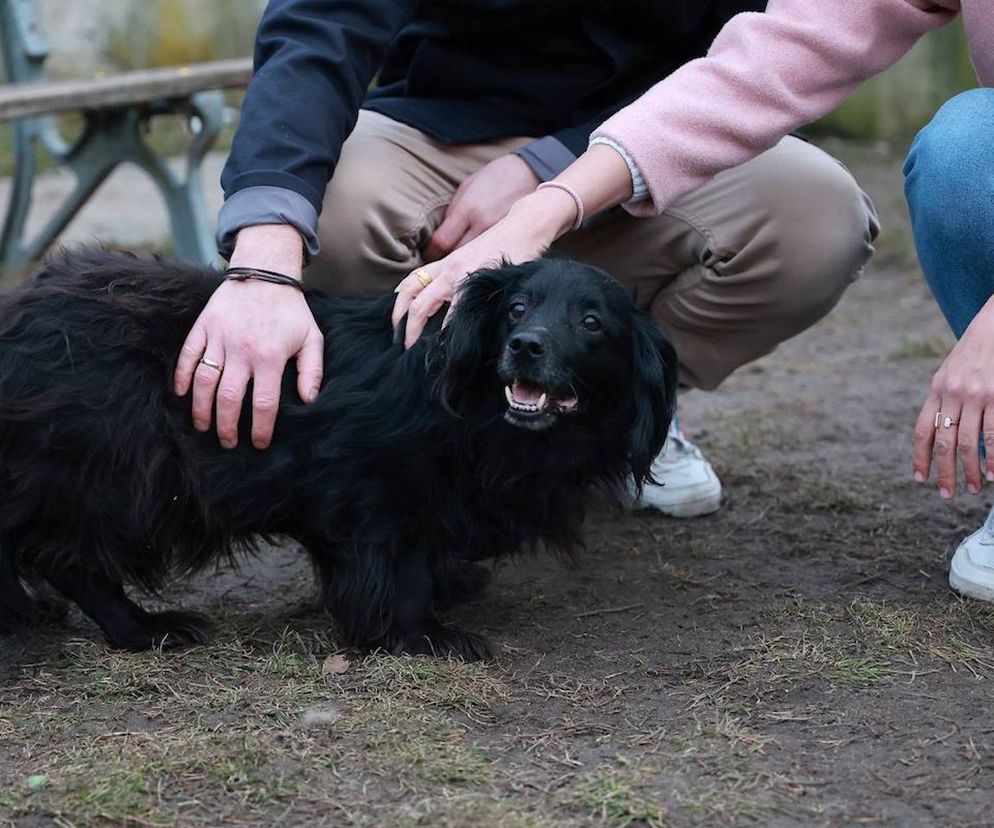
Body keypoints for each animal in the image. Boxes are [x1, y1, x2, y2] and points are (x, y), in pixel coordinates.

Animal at [0, 249, 676, 656]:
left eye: (592, 323)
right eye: (516, 307)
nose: (527, 346)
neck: (477, 408)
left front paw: (450, 587)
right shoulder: (373, 491)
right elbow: (400, 568)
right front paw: (422, 636)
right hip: (110, 470)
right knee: (71, 559)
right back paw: (142, 627)